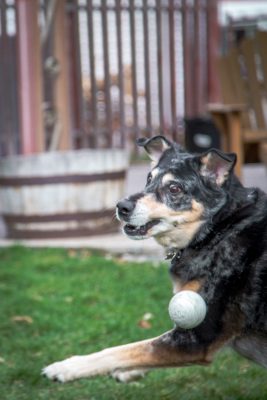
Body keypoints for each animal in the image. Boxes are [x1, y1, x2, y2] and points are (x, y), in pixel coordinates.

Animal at [42, 136, 267, 382]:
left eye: (174, 188)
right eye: (149, 178)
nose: (121, 206)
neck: (218, 228)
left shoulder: (197, 338)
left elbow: (126, 349)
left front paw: (67, 366)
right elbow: (142, 350)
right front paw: (130, 371)